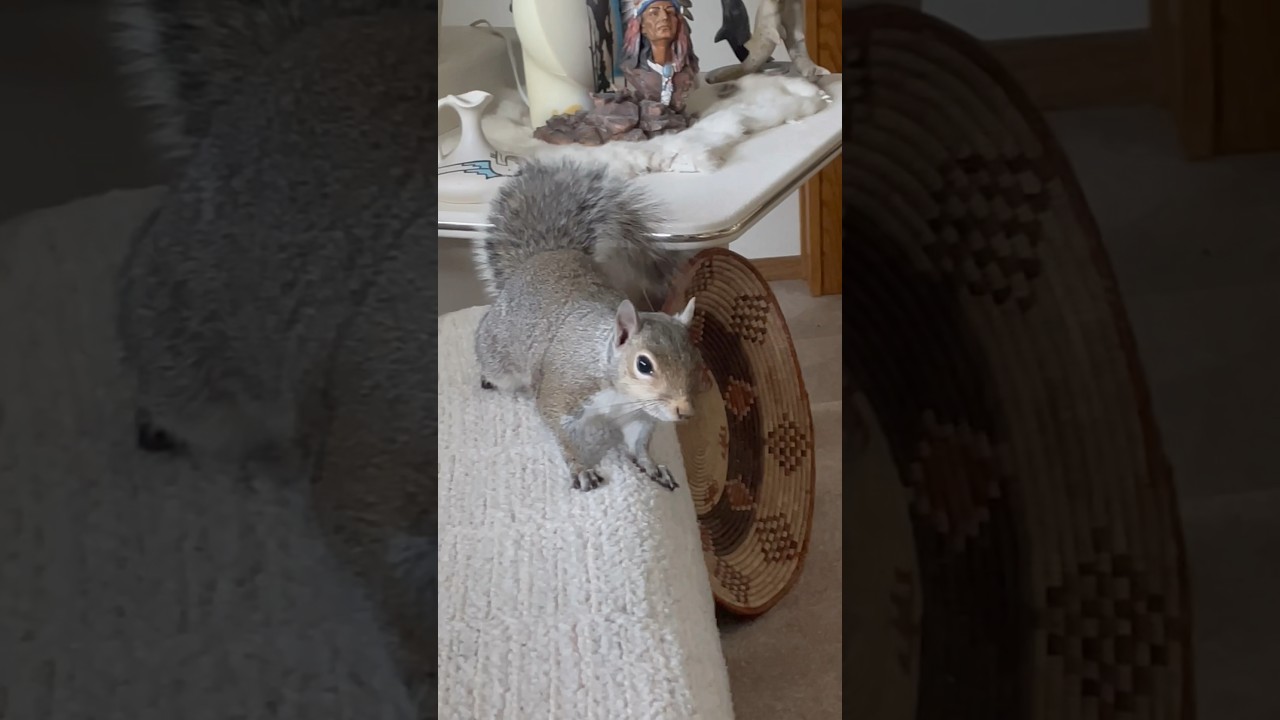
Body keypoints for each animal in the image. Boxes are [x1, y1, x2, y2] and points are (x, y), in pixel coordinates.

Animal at [473, 159, 702, 492]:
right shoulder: (563, 394)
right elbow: (562, 435)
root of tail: (544, 256)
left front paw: (651, 466)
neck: (619, 392)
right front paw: (581, 469)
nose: (684, 411)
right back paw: (488, 377)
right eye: (643, 365)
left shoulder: (638, 417)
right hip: (498, 351)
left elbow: (637, 445)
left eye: (696, 360)